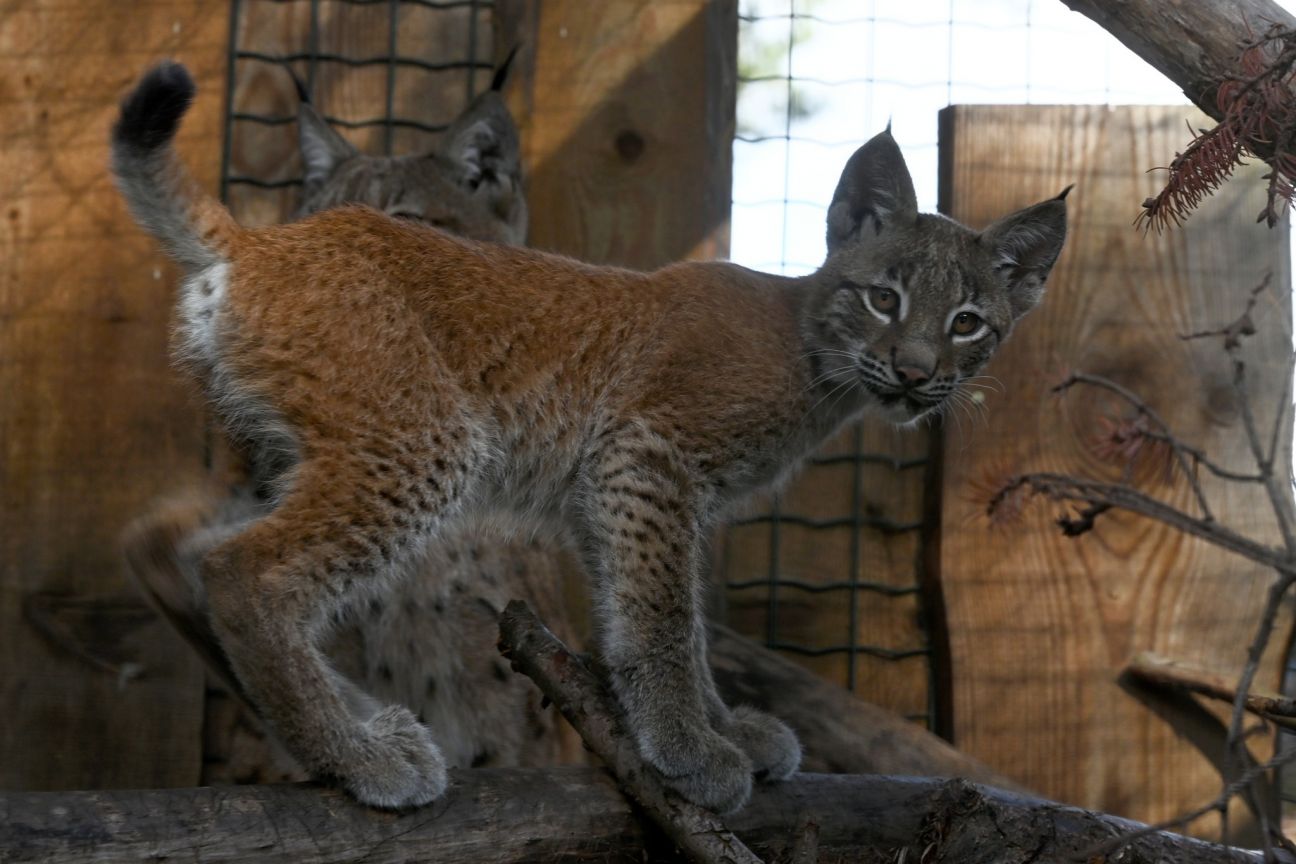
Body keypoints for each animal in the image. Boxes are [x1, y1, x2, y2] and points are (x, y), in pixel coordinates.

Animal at [108, 60, 1062, 813]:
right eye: (883, 300)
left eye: (969, 323)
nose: (914, 371)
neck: (818, 355)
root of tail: (268, 239)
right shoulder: (649, 455)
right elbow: (665, 618)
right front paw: (692, 752)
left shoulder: (619, 489)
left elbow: (648, 616)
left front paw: (711, 731)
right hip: (429, 441)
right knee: (242, 570)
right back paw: (361, 754)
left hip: (312, 446)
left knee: (190, 548)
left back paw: (353, 724)